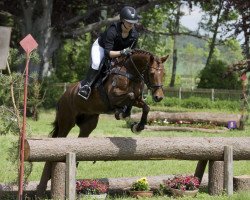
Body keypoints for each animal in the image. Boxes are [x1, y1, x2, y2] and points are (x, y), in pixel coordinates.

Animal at [36, 49, 169, 196]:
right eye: (151, 73)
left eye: (163, 74)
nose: (158, 97)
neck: (131, 73)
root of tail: (63, 96)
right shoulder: (113, 96)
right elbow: (130, 96)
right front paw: (123, 113)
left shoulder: (138, 100)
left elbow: (145, 106)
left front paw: (138, 126)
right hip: (67, 121)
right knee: (58, 140)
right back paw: (43, 186)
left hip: (88, 124)